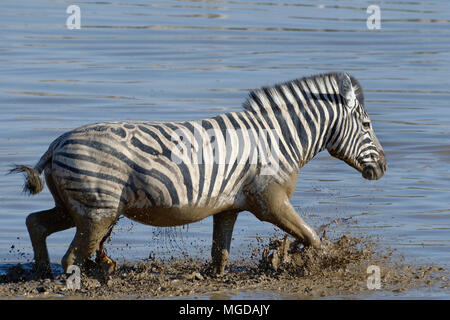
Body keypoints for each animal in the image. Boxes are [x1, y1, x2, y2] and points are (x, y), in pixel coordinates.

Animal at [10, 71, 384, 276]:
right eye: (367, 125)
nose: (382, 166)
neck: (278, 140)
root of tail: (57, 143)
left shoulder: (229, 207)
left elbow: (220, 254)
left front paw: (221, 276)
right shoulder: (270, 201)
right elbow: (311, 236)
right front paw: (312, 260)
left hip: (77, 208)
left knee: (36, 223)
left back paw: (41, 273)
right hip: (97, 213)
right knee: (72, 255)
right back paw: (89, 278)